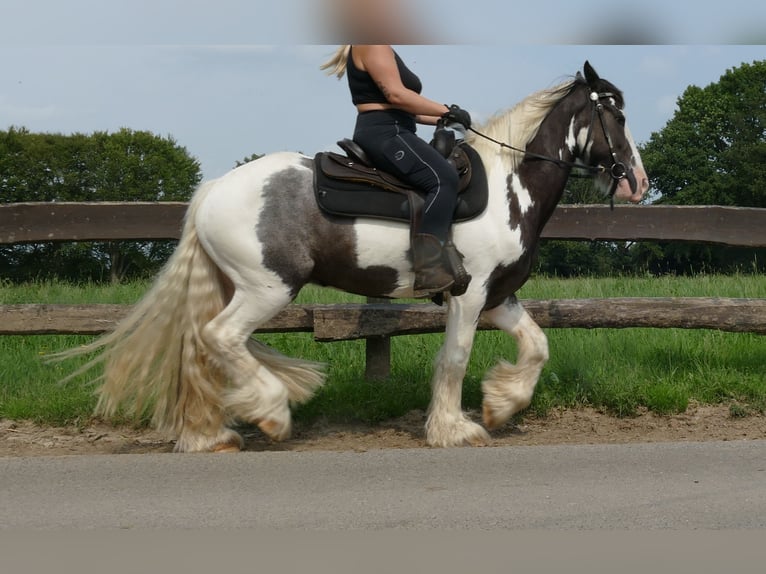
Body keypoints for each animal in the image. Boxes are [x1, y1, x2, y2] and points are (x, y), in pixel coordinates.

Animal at [64, 59, 648, 454]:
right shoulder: (469, 294)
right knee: (220, 337)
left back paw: (213, 435)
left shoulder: (498, 297)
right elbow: (455, 358)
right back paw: (271, 412)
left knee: (206, 348)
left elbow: (537, 346)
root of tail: (213, 190)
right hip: (267, 287)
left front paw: (501, 404)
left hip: (238, 287)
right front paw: (453, 428)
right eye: (615, 115)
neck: (509, 186)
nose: (638, 184)